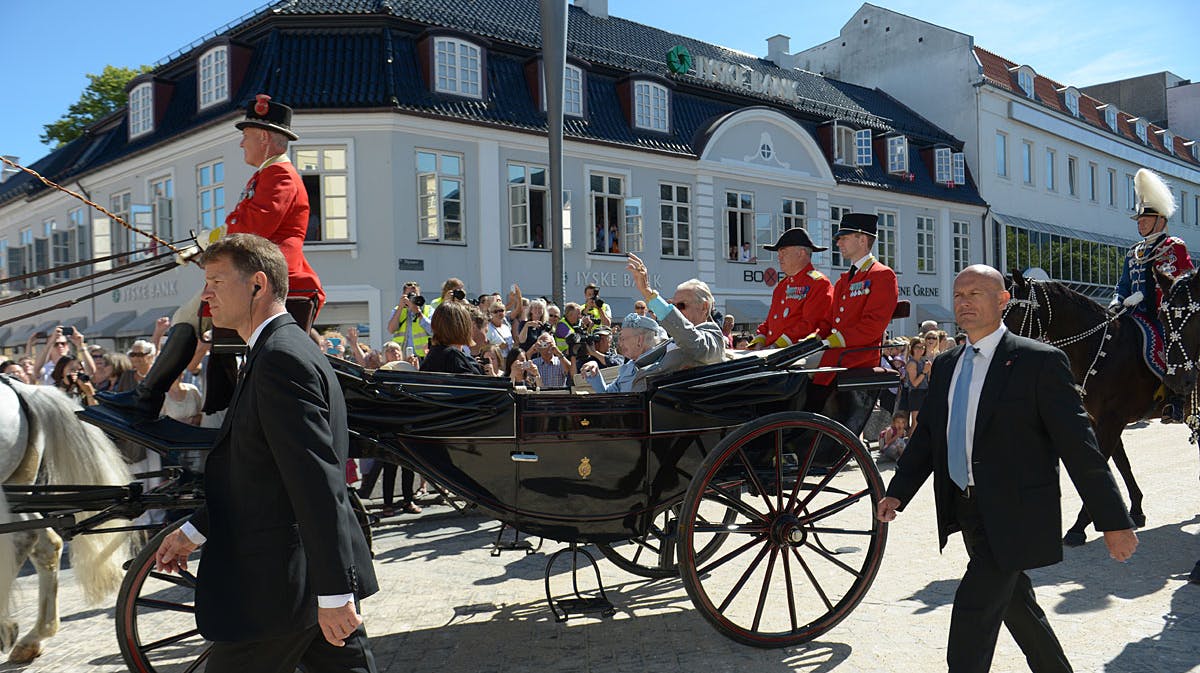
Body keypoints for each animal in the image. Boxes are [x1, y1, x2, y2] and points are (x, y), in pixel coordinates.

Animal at [1003, 268, 1161, 547]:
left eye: (1016, 311)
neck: (1102, 345)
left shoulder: (1112, 421)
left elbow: (1099, 465)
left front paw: (1079, 526)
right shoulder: (1101, 419)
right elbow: (1121, 463)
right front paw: (1136, 509)